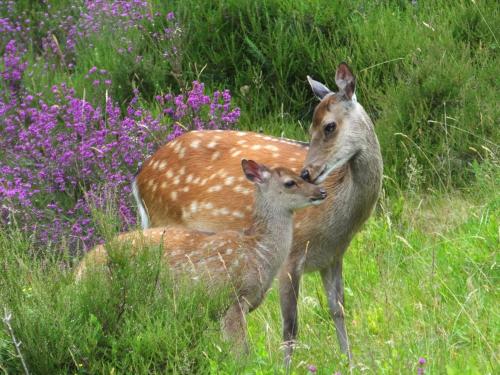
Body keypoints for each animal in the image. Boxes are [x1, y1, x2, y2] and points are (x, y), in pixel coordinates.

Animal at [77, 160, 326, 352]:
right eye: (290, 182)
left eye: (302, 174)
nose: (321, 192)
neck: (259, 253)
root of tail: (79, 271)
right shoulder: (232, 298)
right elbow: (241, 352)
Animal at [133, 63, 382, 362]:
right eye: (310, 127)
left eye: (329, 126)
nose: (307, 173)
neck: (339, 223)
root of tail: (138, 180)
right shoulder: (291, 255)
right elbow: (290, 327)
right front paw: (287, 365)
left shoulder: (333, 256)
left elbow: (338, 309)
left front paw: (350, 362)